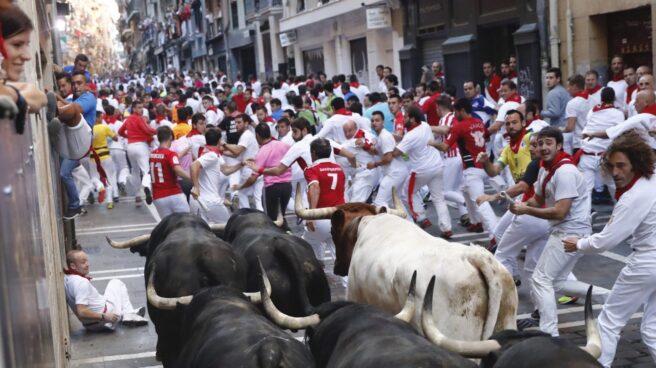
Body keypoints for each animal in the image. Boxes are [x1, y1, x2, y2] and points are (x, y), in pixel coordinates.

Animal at [296, 193, 516, 342]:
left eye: (333, 231)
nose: (337, 268)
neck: (363, 225)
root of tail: (475, 256)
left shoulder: (356, 295)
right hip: (505, 322)